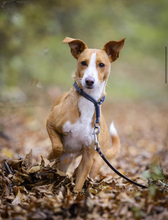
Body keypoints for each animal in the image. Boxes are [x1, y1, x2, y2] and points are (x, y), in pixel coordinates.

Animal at [46, 37, 124, 193]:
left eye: (101, 64)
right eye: (83, 62)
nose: (89, 81)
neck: (89, 100)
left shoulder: (88, 156)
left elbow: (80, 182)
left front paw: (76, 195)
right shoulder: (50, 123)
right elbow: (57, 146)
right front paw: (50, 155)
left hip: (95, 162)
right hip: (65, 160)